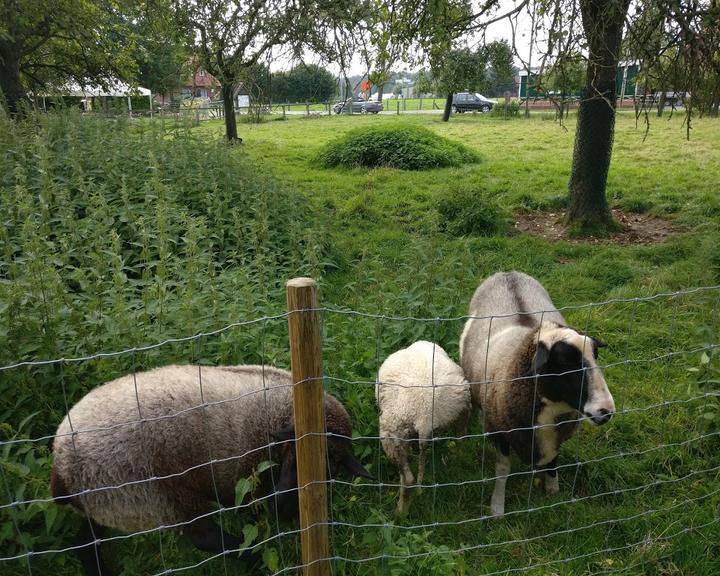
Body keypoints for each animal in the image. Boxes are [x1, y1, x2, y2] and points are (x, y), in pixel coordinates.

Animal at [50, 366, 372, 572]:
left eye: (329, 472)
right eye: (292, 457)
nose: (278, 506)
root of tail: (60, 464)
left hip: (110, 502)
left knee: (84, 542)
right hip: (158, 498)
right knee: (206, 538)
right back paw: (253, 559)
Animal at [376, 340, 472, 510]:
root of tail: (425, 415)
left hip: (393, 432)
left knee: (408, 479)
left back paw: (401, 510)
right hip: (462, 411)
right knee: (461, 442)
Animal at [462, 272, 612, 516]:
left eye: (595, 356)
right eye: (564, 362)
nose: (605, 411)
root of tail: (507, 273)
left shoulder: (558, 435)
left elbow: (553, 461)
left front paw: (552, 489)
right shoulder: (500, 432)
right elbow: (503, 470)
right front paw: (497, 507)